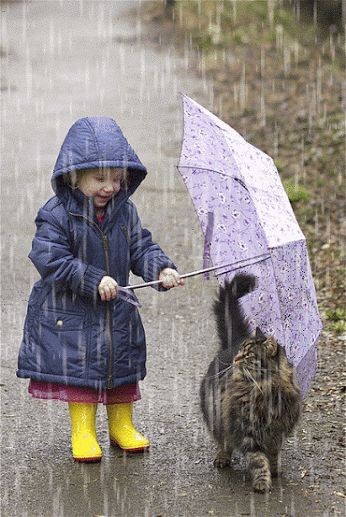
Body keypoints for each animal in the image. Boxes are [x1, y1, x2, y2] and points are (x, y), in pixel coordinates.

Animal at [199, 270, 302, 492]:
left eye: (248, 355)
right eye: (241, 352)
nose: (236, 359)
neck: (267, 390)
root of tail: (229, 344)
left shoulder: (276, 433)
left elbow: (273, 455)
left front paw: (275, 471)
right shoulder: (248, 433)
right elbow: (258, 460)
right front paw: (263, 482)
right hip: (217, 415)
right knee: (224, 441)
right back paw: (222, 458)